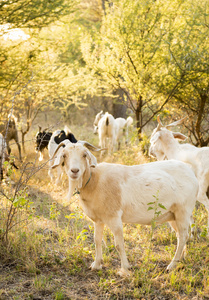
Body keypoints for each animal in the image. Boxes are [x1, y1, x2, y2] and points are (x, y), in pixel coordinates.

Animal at [51, 142, 198, 276]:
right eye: (64, 155)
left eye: (84, 155)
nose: (74, 171)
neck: (94, 181)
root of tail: (191, 172)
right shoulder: (98, 220)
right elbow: (97, 240)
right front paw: (96, 265)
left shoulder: (114, 217)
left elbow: (119, 244)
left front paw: (125, 269)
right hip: (172, 215)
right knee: (181, 236)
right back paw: (181, 260)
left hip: (183, 211)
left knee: (183, 236)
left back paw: (172, 265)